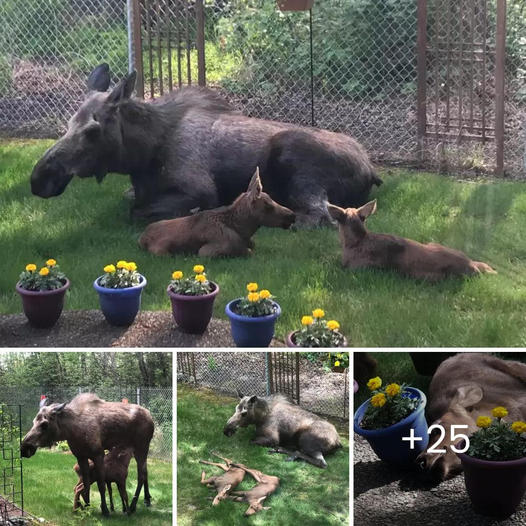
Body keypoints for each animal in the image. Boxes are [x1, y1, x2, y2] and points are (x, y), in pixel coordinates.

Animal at [20, 394, 155, 516]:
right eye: (33, 421)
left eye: (44, 424)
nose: (24, 448)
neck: (71, 431)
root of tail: (151, 417)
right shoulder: (81, 456)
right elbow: (86, 485)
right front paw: (87, 507)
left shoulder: (98, 455)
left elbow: (101, 485)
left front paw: (105, 510)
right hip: (138, 449)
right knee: (146, 472)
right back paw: (147, 499)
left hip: (142, 447)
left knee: (141, 475)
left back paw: (132, 507)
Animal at [29, 63, 384, 227]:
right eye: (67, 124)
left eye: (92, 131)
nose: (39, 179)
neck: (142, 156)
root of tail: (371, 170)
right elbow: (131, 200)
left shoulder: (199, 189)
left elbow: (137, 211)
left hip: (294, 160)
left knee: (318, 216)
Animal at [139, 169, 296, 258]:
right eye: (268, 205)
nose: (292, 215)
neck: (243, 232)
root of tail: (142, 238)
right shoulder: (208, 250)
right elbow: (247, 251)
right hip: (161, 252)